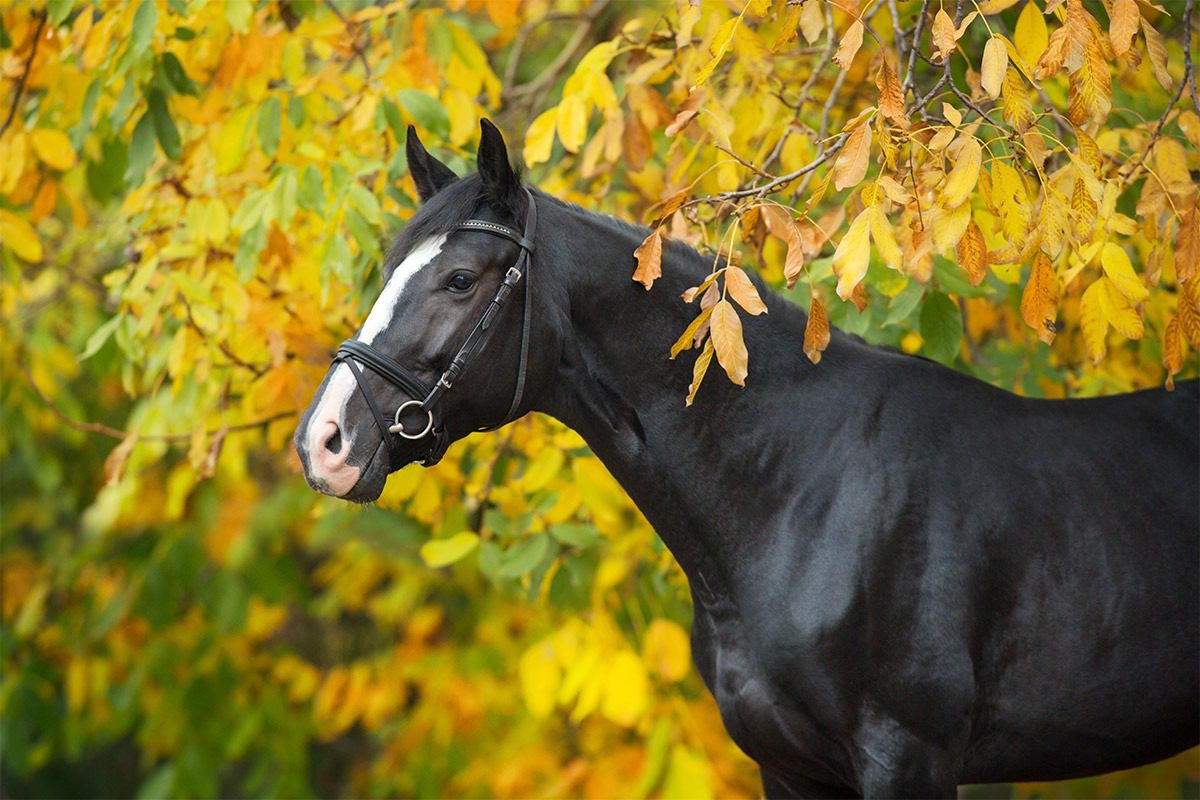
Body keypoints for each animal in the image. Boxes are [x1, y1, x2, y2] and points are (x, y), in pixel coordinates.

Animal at [294, 119, 1200, 798]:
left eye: (459, 279)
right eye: (387, 269)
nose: (323, 442)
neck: (803, 492)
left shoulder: (910, 757)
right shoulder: (789, 768)